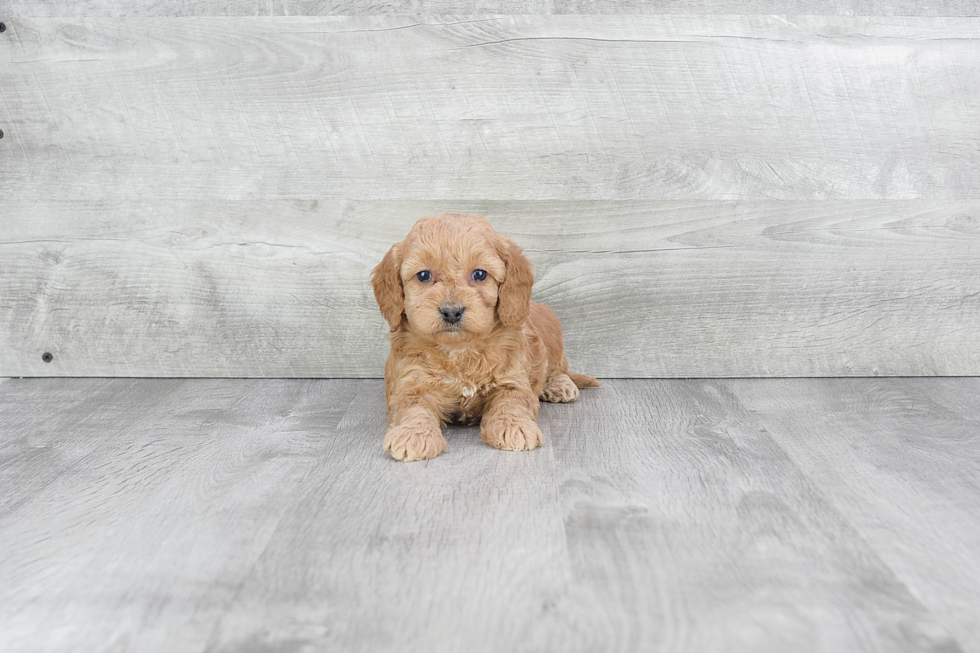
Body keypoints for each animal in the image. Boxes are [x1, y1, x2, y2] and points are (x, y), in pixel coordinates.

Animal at [370, 213, 596, 458]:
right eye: (423, 275)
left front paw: (514, 426)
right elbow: (412, 407)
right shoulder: (411, 383)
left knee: (558, 367)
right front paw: (413, 434)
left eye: (479, 274)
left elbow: (511, 401)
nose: (452, 311)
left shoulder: (512, 379)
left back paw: (559, 386)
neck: (459, 350)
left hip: (552, 332)